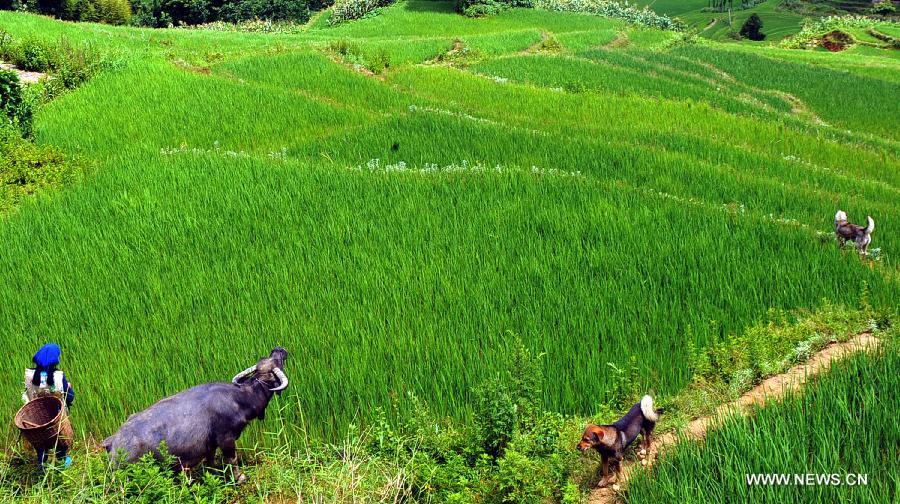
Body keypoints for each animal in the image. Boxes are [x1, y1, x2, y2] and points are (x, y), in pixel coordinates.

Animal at [104, 346, 290, 480]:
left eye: (267, 359)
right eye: (276, 362)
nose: (278, 349)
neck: (240, 398)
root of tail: (113, 442)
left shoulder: (211, 445)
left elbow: (210, 461)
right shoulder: (226, 439)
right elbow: (232, 459)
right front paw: (240, 478)